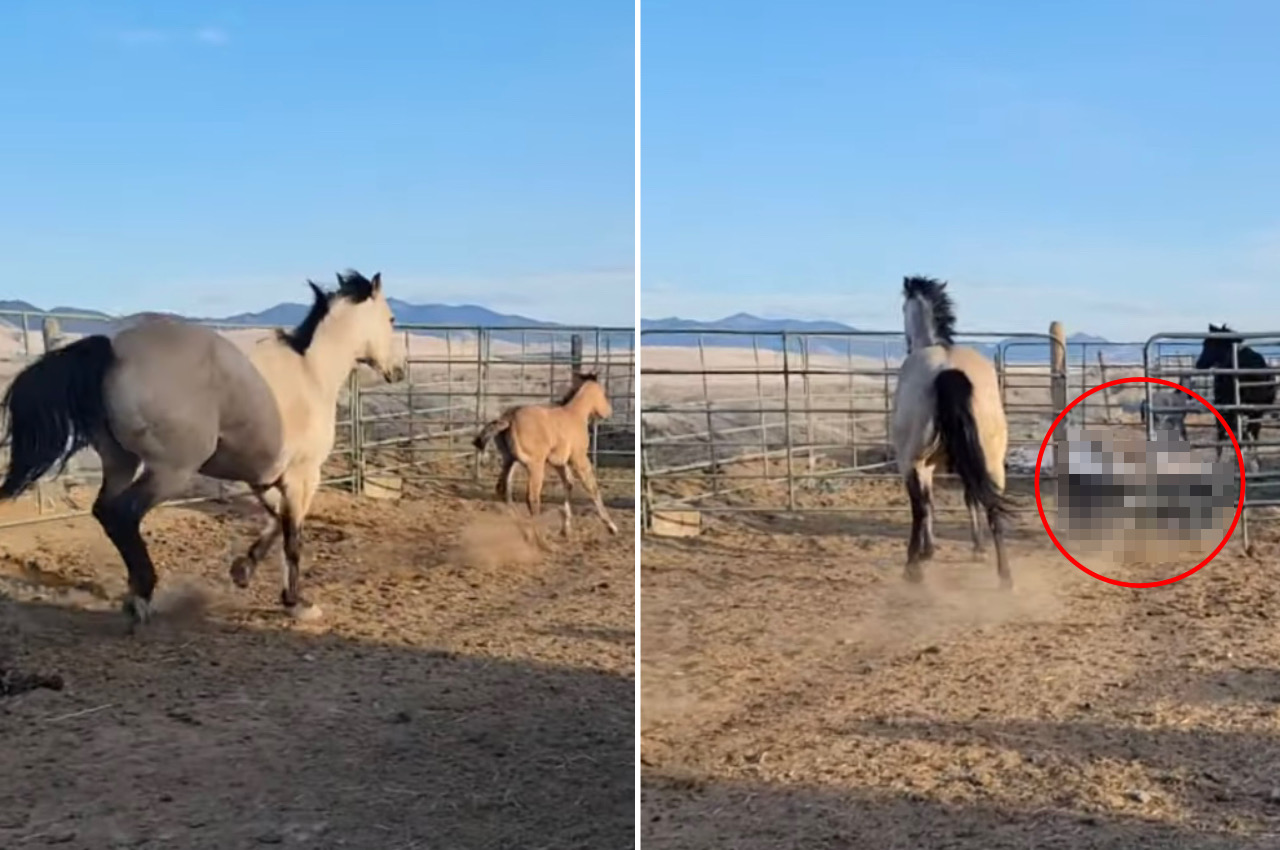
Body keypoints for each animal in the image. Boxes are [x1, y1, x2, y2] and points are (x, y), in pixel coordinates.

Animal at [0, 268, 404, 627]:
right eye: (391, 318)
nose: (397, 372)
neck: (312, 373)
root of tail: (113, 350)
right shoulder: (302, 477)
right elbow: (293, 537)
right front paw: (297, 603)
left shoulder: (262, 478)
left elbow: (275, 522)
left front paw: (243, 570)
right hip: (171, 470)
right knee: (123, 513)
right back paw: (141, 597)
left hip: (120, 461)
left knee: (104, 511)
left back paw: (137, 593)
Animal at [471, 373, 619, 545]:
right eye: (604, 393)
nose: (609, 411)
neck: (575, 414)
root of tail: (510, 418)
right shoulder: (579, 459)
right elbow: (592, 487)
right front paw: (611, 527)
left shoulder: (559, 463)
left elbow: (568, 484)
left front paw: (566, 530)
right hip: (535, 465)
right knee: (532, 497)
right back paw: (540, 539)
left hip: (510, 461)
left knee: (503, 491)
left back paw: (524, 532)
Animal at [890, 275, 1008, 588]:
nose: (907, 344)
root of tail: (948, 370)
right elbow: (969, 497)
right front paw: (977, 549)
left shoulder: (923, 464)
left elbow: (926, 502)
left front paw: (925, 552)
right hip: (992, 461)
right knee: (992, 505)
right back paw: (1006, 577)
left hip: (911, 460)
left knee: (918, 508)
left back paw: (911, 568)